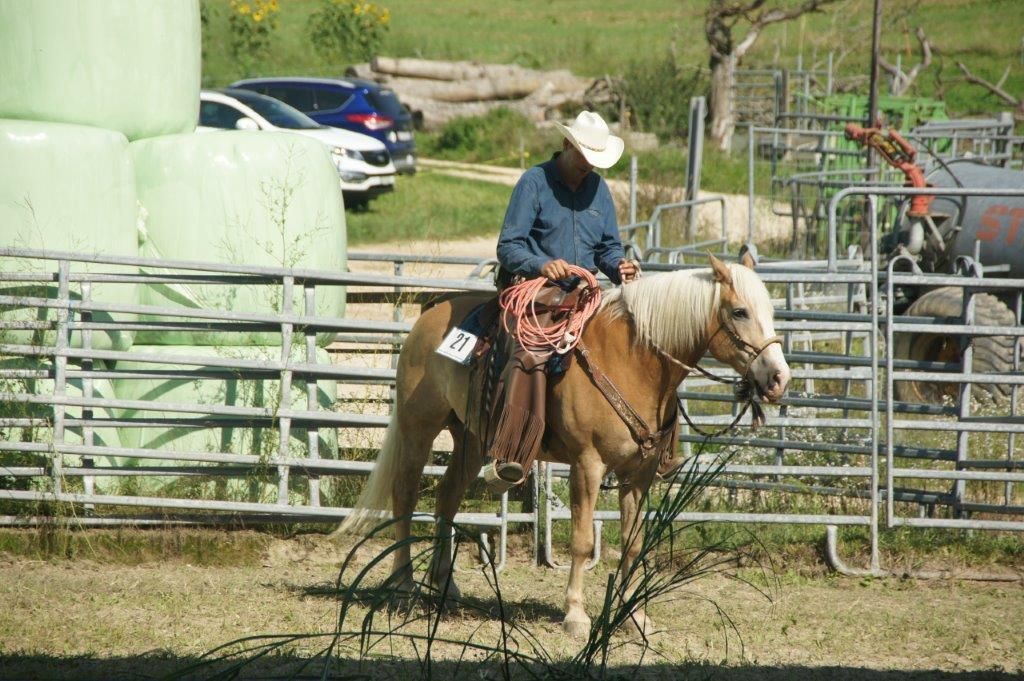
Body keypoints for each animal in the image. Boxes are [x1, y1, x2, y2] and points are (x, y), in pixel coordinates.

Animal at [337, 253, 790, 637]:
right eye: (740, 311)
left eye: (768, 311)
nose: (778, 378)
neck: (631, 361)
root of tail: (429, 316)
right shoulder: (587, 464)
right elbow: (582, 541)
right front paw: (575, 614)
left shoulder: (639, 475)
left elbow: (633, 543)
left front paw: (634, 616)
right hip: (419, 427)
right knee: (406, 495)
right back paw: (403, 585)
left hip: (470, 438)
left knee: (446, 498)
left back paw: (446, 587)